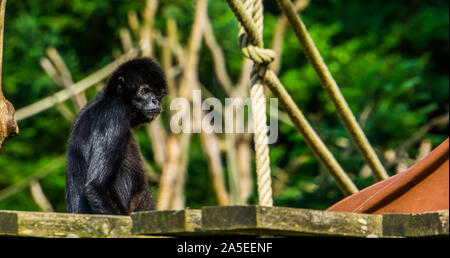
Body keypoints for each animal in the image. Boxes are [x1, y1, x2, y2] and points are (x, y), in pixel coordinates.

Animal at [65, 58, 167, 216]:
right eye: (145, 91)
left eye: (158, 93)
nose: (155, 100)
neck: (107, 99)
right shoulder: (114, 114)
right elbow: (95, 188)